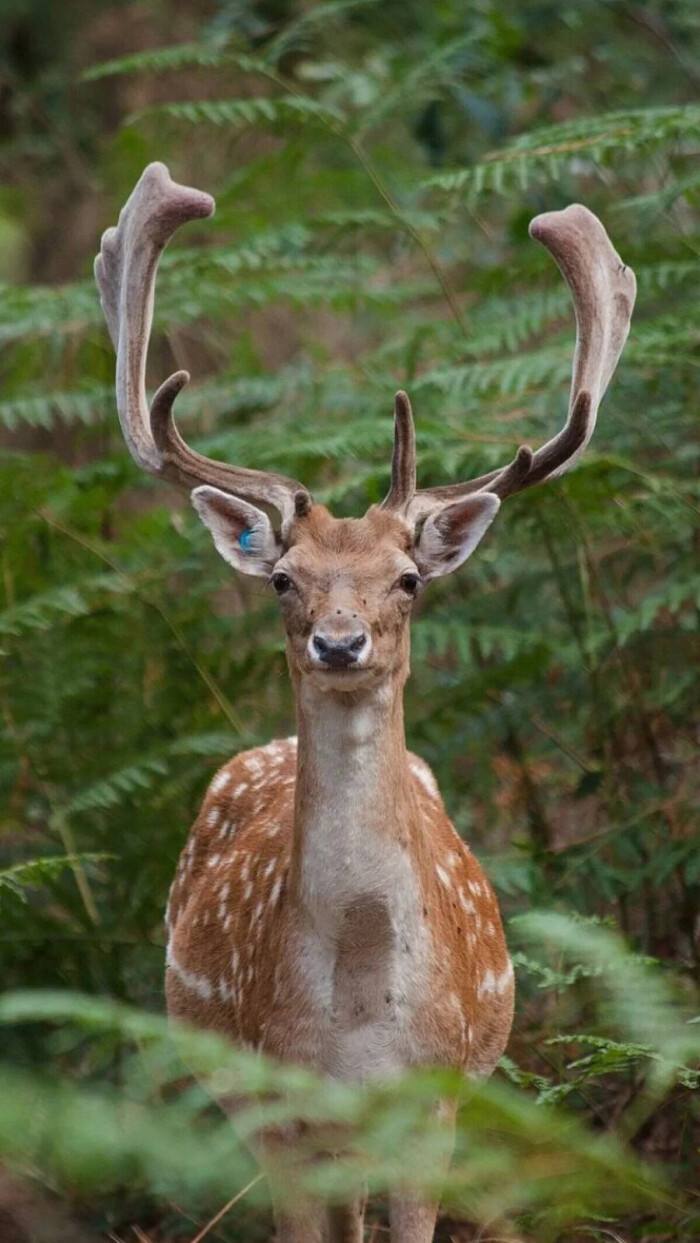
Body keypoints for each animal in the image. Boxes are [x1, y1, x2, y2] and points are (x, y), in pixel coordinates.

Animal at [95, 165, 636, 1243]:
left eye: (408, 579)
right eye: (282, 580)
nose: (338, 642)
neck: (352, 1012)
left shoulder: (436, 1101)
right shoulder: (276, 1105)